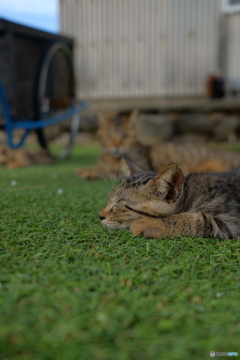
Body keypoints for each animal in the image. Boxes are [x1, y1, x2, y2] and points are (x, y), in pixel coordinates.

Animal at [75, 109, 240, 178]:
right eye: (109, 136)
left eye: (125, 137)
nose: (116, 146)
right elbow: (99, 167)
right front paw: (84, 169)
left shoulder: (142, 165)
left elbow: (107, 170)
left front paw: (89, 173)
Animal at [99, 157, 240, 239]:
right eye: (108, 201)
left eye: (117, 206)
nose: (100, 216)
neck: (190, 194)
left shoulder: (232, 219)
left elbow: (201, 218)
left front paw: (148, 223)